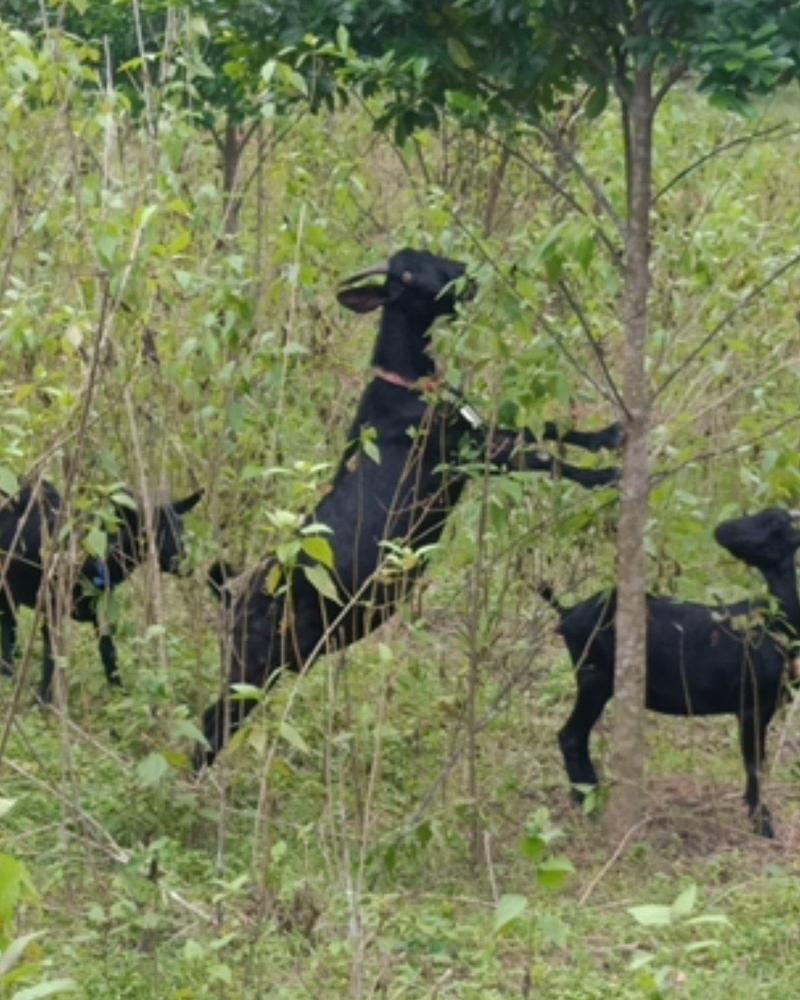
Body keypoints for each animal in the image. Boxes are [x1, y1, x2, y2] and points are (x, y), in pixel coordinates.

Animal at [0, 478, 200, 700]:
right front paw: (43, 700)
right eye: (150, 532)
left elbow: (108, 652)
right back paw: (9, 676)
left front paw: (120, 695)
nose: (186, 565)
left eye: (181, 527)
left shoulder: (101, 610)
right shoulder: (52, 608)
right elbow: (51, 657)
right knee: (8, 631)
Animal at [197, 250, 620, 764]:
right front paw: (606, 476)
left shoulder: (475, 435)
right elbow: (538, 457)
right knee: (211, 728)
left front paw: (608, 435)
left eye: (431, 258)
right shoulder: (466, 455)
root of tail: (230, 595)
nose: (467, 279)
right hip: (255, 667)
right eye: (407, 275)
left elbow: (543, 428)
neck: (407, 387)